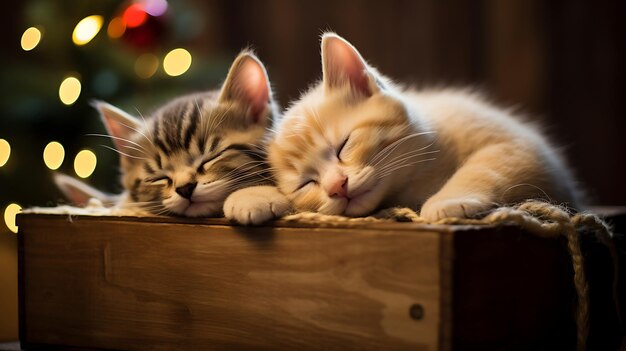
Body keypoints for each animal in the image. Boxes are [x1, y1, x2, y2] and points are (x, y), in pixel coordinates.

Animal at [264, 32, 580, 220]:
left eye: (344, 146)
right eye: (306, 183)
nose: (337, 188)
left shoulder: (522, 146)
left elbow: (484, 167)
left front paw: (448, 200)